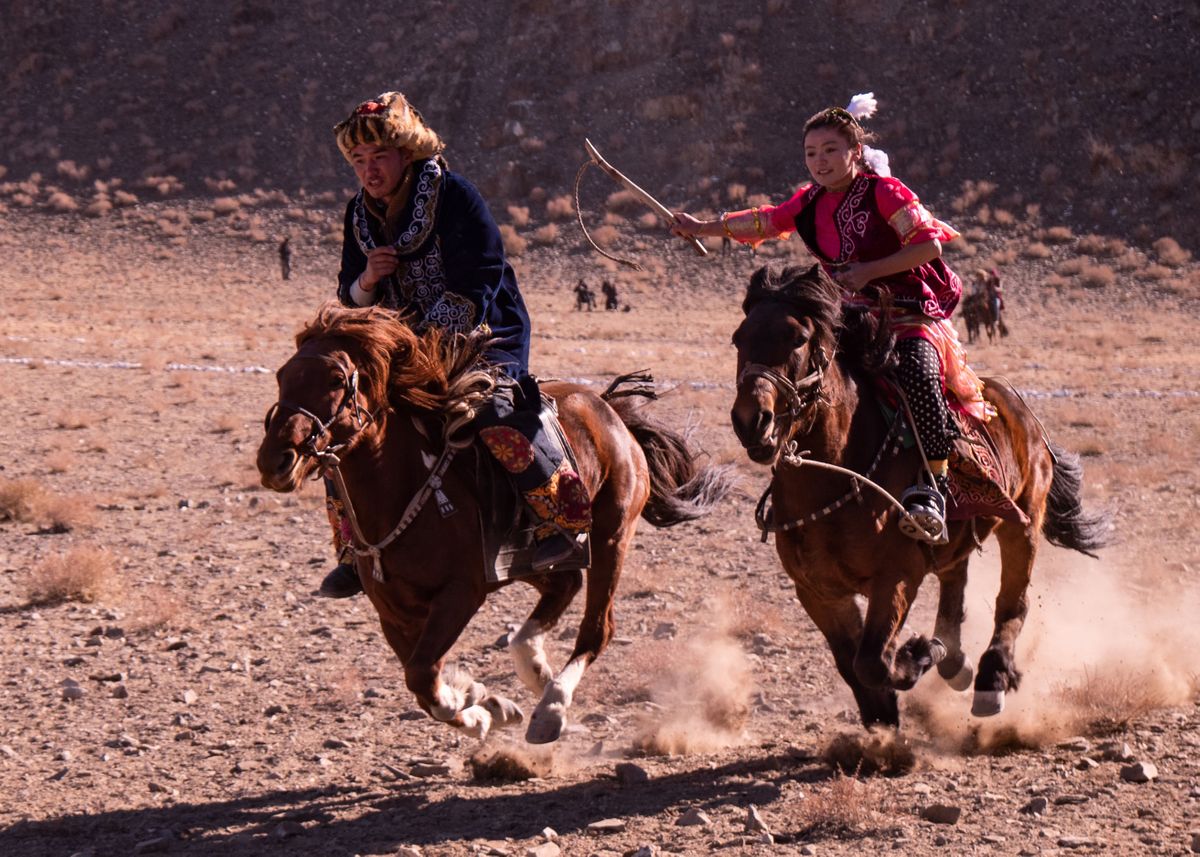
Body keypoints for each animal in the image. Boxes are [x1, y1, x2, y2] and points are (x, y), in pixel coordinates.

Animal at [260, 304, 729, 739]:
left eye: (337, 380)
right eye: (282, 375)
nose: (275, 460)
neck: (407, 491)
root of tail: (609, 411)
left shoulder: (461, 593)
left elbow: (422, 674)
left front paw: (472, 702)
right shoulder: (393, 612)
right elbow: (421, 678)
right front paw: (485, 706)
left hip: (611, 534)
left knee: (597, 628)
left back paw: (550, 708)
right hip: (528, 559)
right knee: (564, 586)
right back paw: (535, 671)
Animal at [724, 264, 1108, 724]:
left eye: (798, 338)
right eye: (739, 338)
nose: (752, 421)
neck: (838, 480)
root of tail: (1021, 409)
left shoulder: (897, 576)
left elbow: (872, 660)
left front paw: (919, 653)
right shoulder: (817, 590)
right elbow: (850, 662)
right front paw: (883, 715)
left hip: (1024, 522)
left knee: (1012, 603)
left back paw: (990, 678)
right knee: (955, 585)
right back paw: (956, 663)